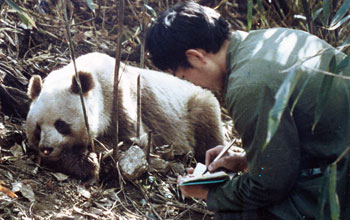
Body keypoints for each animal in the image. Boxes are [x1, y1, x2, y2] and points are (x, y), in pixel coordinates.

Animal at [25, 52, 224, 182]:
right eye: (37, 128)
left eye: (61, 125)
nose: (46, 148)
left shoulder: (119, 97)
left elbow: (132, 141)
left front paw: (91, 159)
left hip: (194, 107)